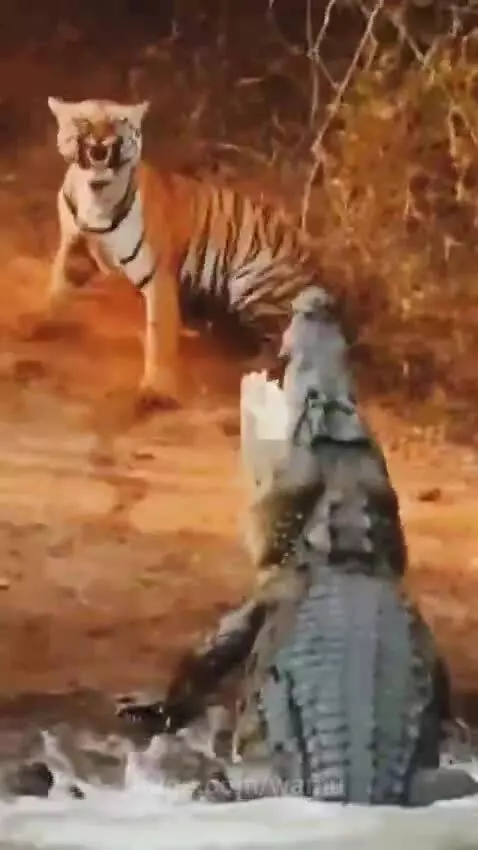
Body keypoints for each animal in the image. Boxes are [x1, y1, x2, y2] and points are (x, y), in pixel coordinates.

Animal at [46, 96, 323, 408]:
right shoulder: (73, 244)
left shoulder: (157, 275)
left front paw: (156, 389)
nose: (102, 144)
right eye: (82, 120)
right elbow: (58, 286)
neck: (96, 194)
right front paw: (44, 319)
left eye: (119, 121)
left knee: (282, 341)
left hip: (253, 285)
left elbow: (159, 332)